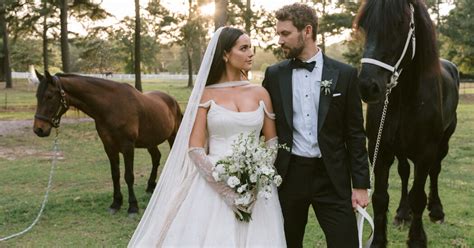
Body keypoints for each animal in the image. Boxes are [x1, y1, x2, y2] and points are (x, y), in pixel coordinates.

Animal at [33, 70, 181, 215]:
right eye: (37, 96)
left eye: (49, 96)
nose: (38, 129)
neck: (112, 106)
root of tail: (172, 100)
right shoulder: (109, 147)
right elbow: (115, 175)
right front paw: (116, 203)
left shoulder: (128, 147)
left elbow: (129, 176)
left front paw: (133, 207)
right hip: (150, 141)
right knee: (156, 158)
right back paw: (151, 186)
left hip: (173, 136)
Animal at [356, 0, 460, 247]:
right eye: (364, 25)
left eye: (400, 24)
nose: (367, 86)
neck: (405, 98)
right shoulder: (379, 150)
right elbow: (380, 197)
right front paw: (378, 240)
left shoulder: (425, 153)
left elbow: (419, 197)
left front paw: (417, 238)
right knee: (404, 172)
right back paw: (403, 213)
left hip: (443, 143)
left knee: (435, 171)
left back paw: (436, 211)